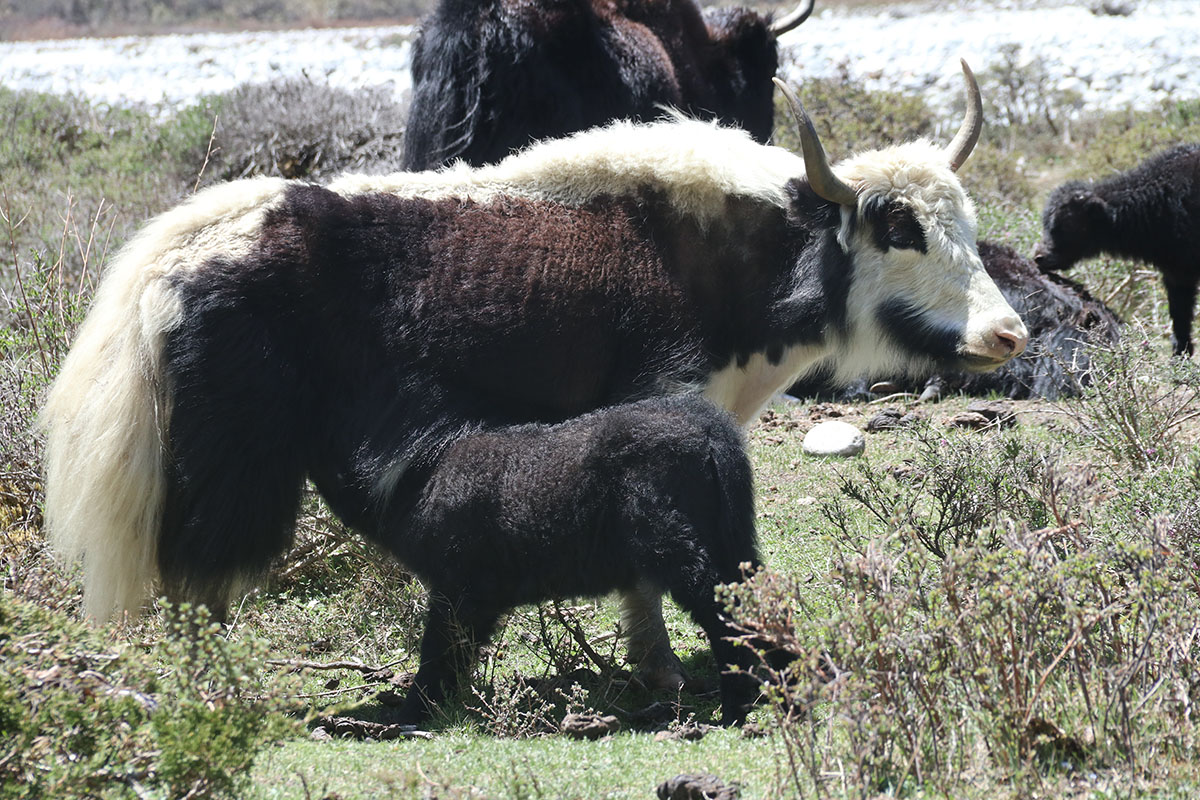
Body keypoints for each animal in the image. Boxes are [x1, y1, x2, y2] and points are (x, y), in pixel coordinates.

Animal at [384, 398, 758, 729]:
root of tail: (708, 426)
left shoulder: (462, 585)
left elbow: (441, 648)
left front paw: (412, 714)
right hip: (733, 537)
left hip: (675, 544)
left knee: (721, 608)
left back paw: (736, 706)